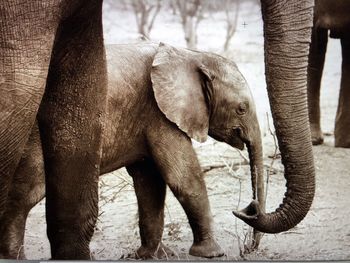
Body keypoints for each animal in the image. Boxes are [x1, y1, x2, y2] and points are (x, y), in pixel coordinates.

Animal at [0, 42, 262, 260]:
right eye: (241, 108)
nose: (250, 247)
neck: (188, 54)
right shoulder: (158, 113)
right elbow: (183, 177)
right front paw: (212, 253)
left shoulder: (146, 116)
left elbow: (150, 182)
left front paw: (151, 255)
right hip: (34, 138)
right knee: (24, 195)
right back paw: (15, 257)